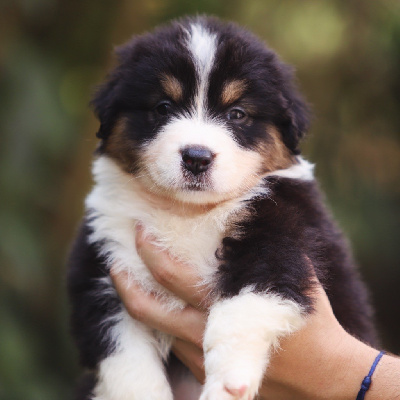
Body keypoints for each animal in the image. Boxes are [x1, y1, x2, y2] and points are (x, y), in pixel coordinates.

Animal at [68, 16, 378, 400]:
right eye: (163, 107)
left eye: (237, 114)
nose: (196, 157)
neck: (187, 214)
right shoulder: (102, 263)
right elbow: (124, 355)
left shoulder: (283, 236)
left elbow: (246, 304)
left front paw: (228, 382)